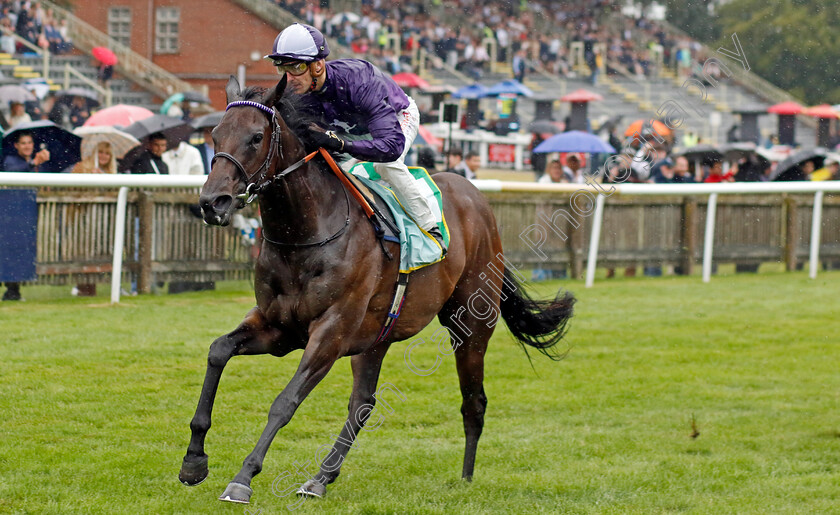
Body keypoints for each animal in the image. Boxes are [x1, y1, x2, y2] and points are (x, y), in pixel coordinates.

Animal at [180, 76, 576, 504]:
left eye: (256, 137)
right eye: (215, 134)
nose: (212, 202)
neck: (306, 234)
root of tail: (476, 197)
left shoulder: (331, 332)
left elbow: (285, 402)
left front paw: (242, 477)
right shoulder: (278, 327)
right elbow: (218, 351)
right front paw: (193, 462)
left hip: (470, 323)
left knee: (474, 400)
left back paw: (466, 477)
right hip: (377, 335)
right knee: (363, 403)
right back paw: (320, 478)